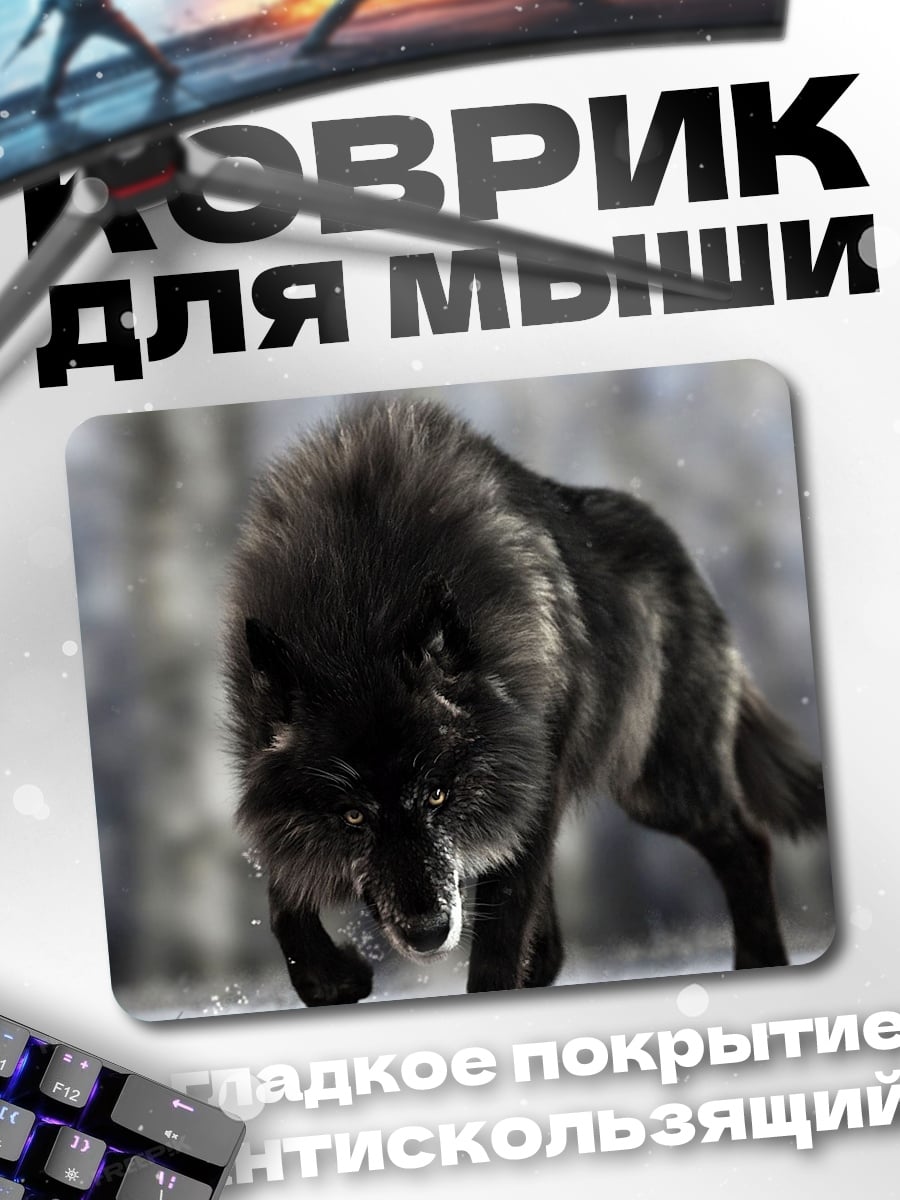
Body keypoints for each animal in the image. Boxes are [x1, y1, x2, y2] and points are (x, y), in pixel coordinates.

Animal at [223, 397, 825, 1006]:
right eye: (353, 815)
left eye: (438, 795)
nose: (428, 933)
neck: (360, 599)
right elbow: (284, 899)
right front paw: (332, 979)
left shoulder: (531, 793)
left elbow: (500, 940)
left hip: (657, 787)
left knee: (748, 843)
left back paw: (760, 963)